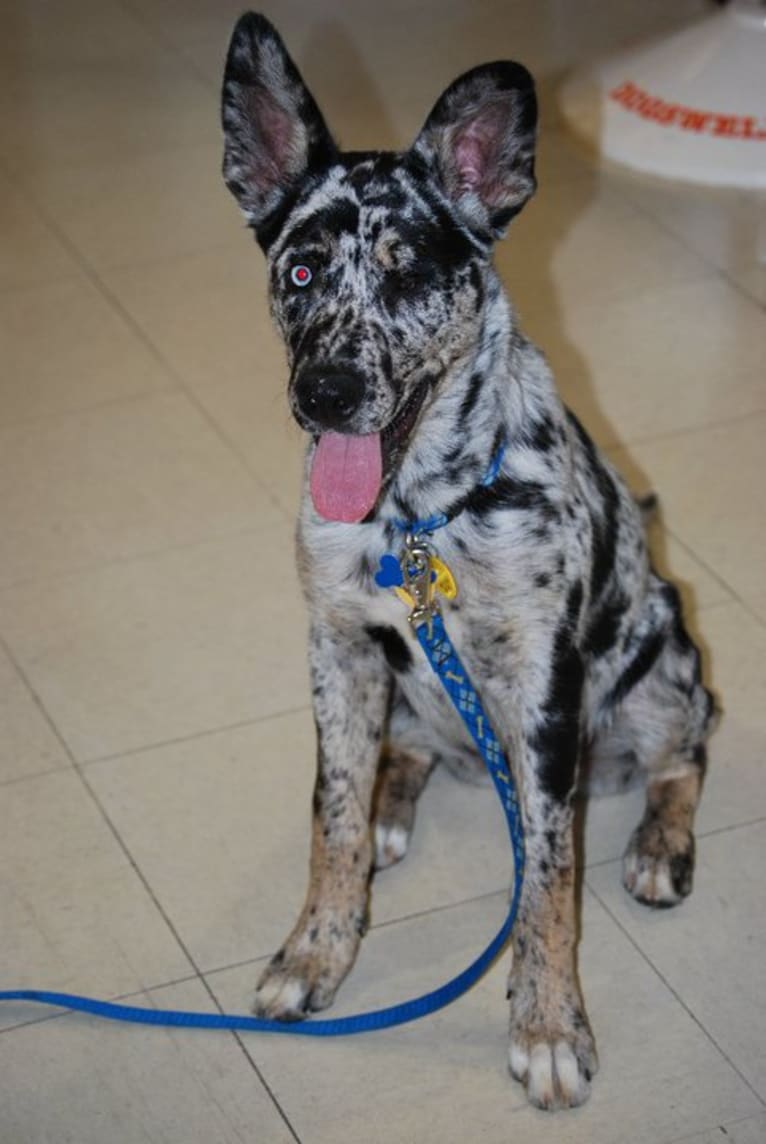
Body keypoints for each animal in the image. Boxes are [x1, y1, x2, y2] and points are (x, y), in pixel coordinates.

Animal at [219, 13, 717, 1111]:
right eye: (301, 270)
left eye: (407, 270)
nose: (324, 390)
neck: (416, 519)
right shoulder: (337, 648)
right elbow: (331, 816)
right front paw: (317, 949)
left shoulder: (543, 688)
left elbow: (549, 878)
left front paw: (548, 1024)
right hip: (403, 693)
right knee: (398, 761)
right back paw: (394, 807)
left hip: (664, 665)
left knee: (685, 754)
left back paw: (658, 846)